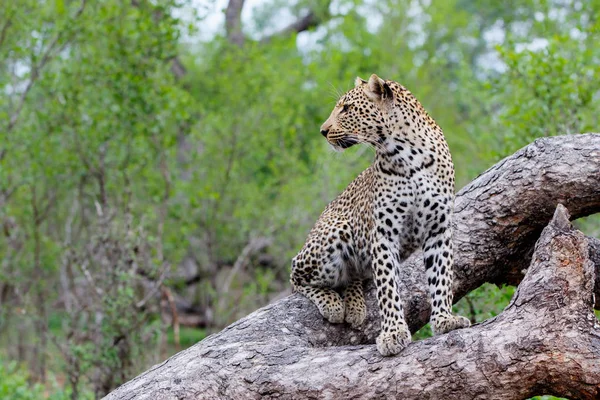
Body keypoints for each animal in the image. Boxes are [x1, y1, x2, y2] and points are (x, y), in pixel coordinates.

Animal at [290, 74, 468, 356]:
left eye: (346, 108)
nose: (323, 131)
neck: (408, 155)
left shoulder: (438, 228)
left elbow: (442, 276)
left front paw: (445, 320)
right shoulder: (384, 233)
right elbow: (387, 288)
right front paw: (393, 333)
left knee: (351, 277)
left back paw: (353, 304)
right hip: (335, 232)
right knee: (295, 274)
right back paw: (332, 303)